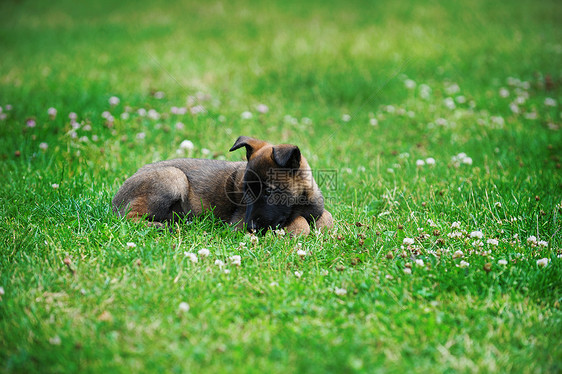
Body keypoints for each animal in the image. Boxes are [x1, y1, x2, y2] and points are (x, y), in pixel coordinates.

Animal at [113, 136, 332, 235]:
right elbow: (300, 223)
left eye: (270, 191)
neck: (300, 203)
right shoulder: (238, 222)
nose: (250, 228)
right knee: (129, 217)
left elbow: (327, 218)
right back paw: (162, 226)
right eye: (246, 192)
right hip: (174, 176)